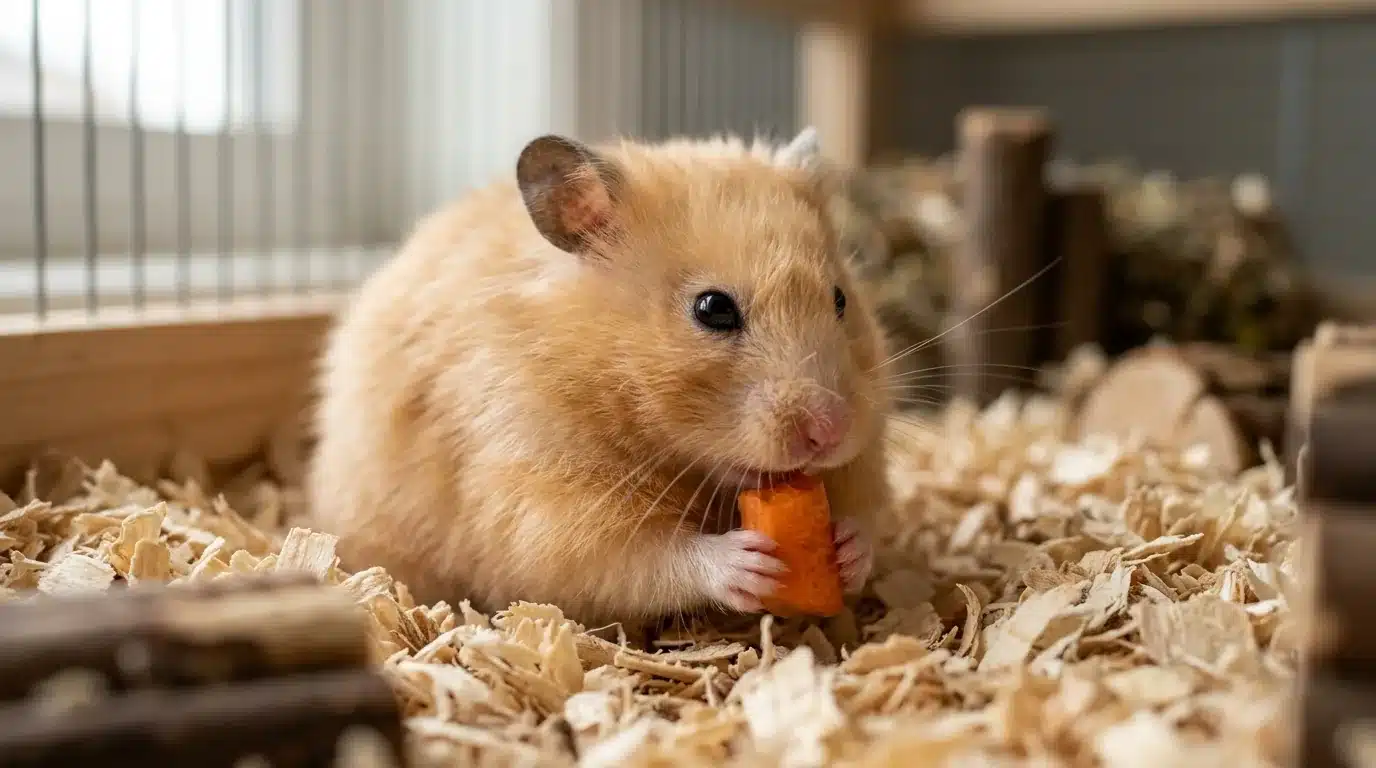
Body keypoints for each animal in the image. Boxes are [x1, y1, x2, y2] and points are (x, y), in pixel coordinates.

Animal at [308, 127, 893, 628]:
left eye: (840, 299)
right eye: (713, 309)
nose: (831, 431)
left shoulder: (864, 457)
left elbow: (866, 511)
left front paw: (848, 548)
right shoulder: (540, 493)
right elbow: (643, 556)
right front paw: (746, 562)